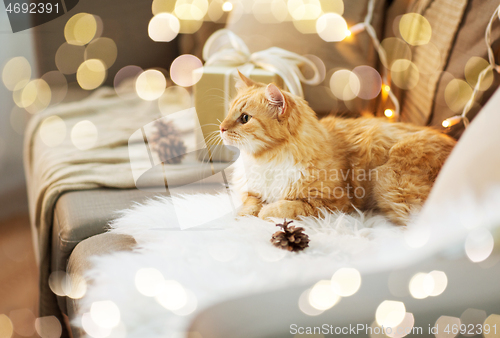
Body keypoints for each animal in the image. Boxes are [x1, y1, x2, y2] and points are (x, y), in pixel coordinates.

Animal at [220, 71, 458, 226]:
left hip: (391, 183)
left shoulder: (332, 202)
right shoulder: (253, 190)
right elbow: (249, 204)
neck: (266, 159)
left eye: (244, 118)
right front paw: (242, 217)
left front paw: (265, 212)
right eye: (228, 112)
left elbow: (285, 207)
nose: (221, 128)